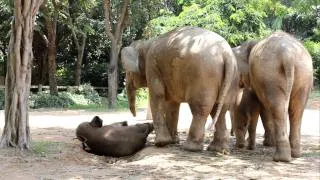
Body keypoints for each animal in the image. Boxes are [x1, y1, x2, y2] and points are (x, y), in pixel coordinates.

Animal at [232, 31, 312, 162]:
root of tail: (288, 55)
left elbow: (261, 107)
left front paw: (268, 144)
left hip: (271, 75)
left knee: (277, 108)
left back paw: (281, 158)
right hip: (303, 74)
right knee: (296, 109)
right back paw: (295, 154)